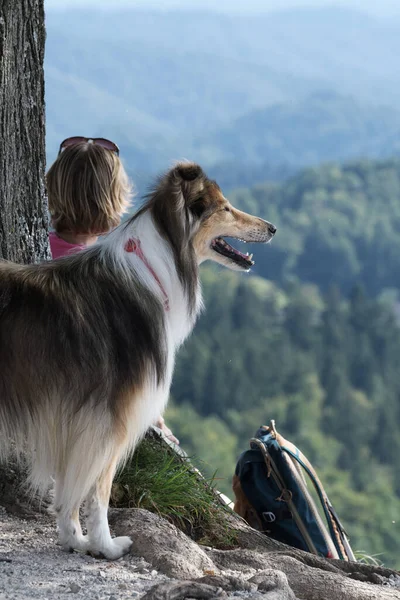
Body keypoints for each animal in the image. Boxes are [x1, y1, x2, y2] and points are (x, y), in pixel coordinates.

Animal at [0, 163, 276, 556]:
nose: (272, 228)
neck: (158, 266)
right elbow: (98, 490)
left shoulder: (75, 421)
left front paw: (75, 539)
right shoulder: (110, 420)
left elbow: (70, 489)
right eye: (224, 207)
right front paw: (106, 546)